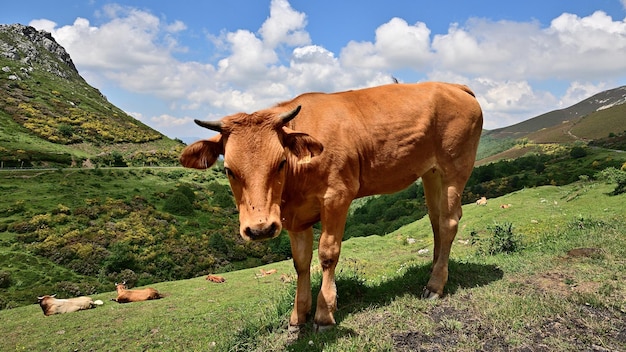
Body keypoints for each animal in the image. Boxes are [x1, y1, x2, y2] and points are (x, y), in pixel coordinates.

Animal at [180, 81, 482, 332]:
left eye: (280, 162)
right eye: (229, 170)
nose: (260, 228)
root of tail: (453, 86)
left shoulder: (337, 197)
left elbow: (327, 254)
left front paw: (324, 314)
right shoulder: (293, 217)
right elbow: (300, 262)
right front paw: (297, 316)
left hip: (456, 166)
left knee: (449, 222)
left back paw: (435, 285)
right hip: (431, 172)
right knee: (435, 219)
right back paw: (434, 269)